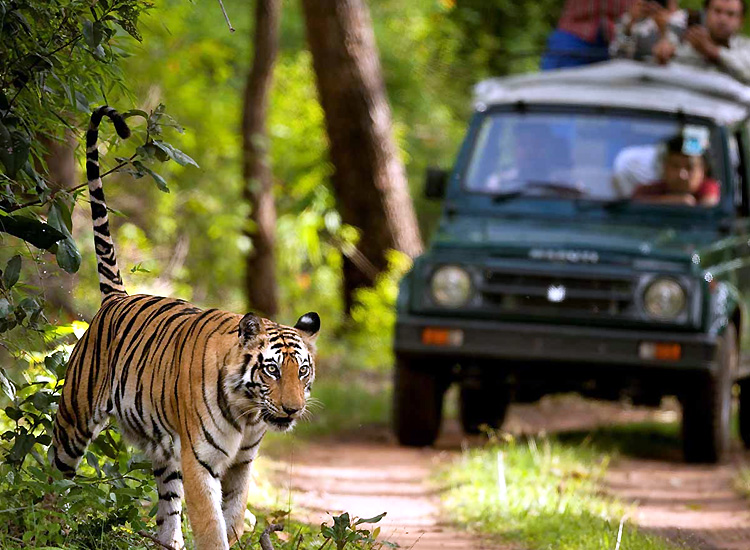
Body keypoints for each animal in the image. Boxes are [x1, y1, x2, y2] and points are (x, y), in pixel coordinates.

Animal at [50, 106, 320, 550]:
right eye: (271, 370)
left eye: (302, 371)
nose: (293, 409)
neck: (249, 414)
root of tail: (116, 298)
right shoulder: (200, 460)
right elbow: (211, 526)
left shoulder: (243, 462)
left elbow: (234, 513)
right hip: (75, 420)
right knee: (51, 475)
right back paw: (46, 520)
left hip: (165, 453)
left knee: (167, 509)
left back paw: (167, 541)